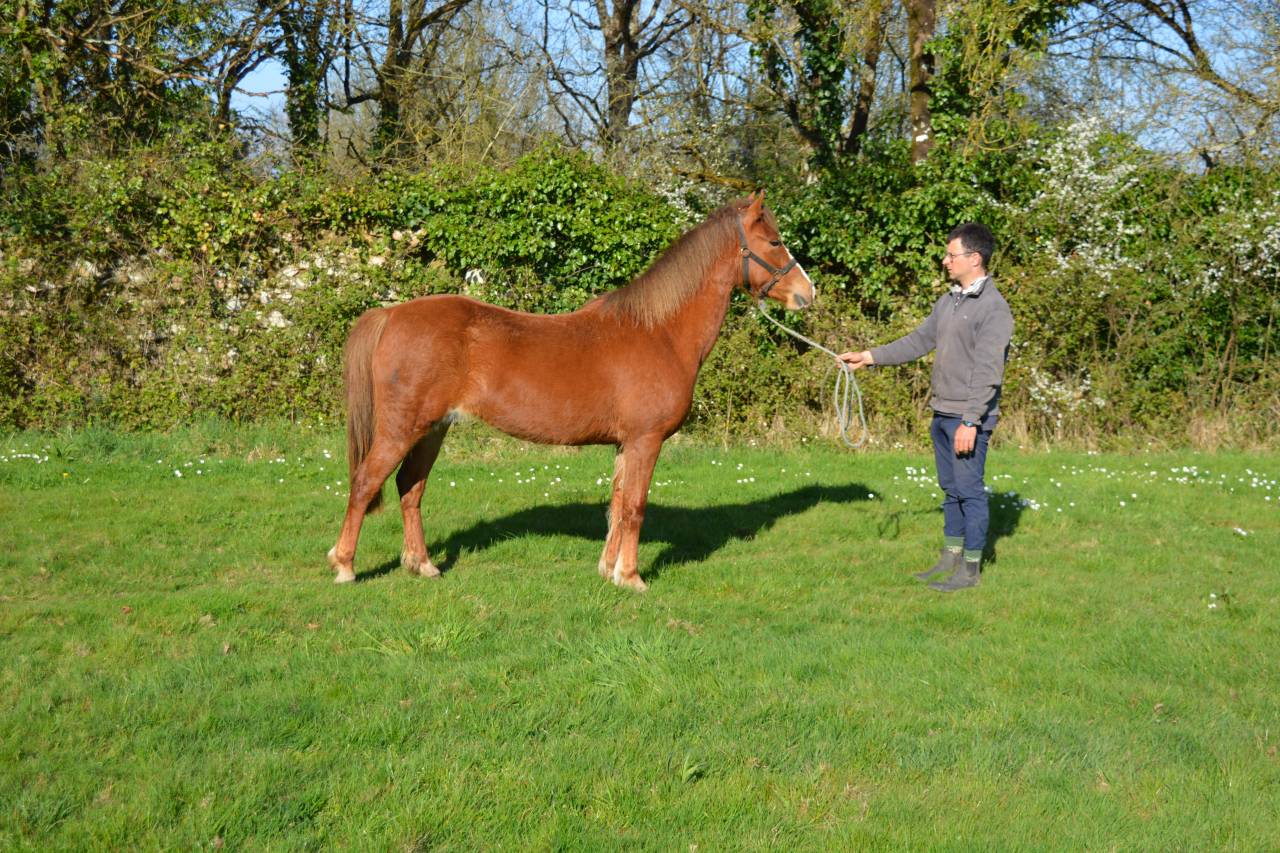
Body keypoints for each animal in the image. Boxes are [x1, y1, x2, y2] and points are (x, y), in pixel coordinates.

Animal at [327, 191, 815, 591]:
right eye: (774, 242)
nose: (808, 294)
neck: (660, 332)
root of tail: (391, 315)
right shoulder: (646, 440)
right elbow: (635, 506)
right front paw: (632, 577)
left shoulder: (626, 444)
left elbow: (617, 504)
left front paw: (609, 570)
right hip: (401, 429)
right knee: (366, 483)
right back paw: (345, 566)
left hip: (432, 429)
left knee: (410, 487)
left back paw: (422, 565)